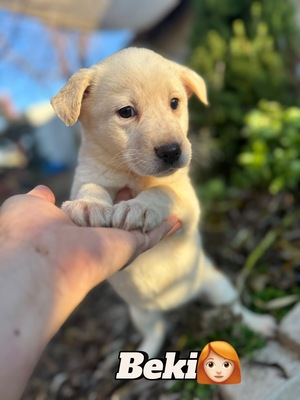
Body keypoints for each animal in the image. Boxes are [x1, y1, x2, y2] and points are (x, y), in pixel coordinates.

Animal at [51, 47, 276, 356]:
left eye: (174, 103)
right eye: (126, 112)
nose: (171, 151)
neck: (133, 174)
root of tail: (177, 305)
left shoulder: (188, 204)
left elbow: (163, 192)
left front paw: (139, 207)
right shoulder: (87, 175)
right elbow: (90, 187)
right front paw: (89, 206)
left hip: (217, 285)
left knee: (238, 310)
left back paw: (261, 323)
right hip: (141, 313)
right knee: (157, 331)